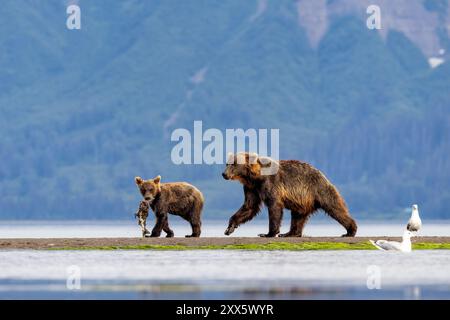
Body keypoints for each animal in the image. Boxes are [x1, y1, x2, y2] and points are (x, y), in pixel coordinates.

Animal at [222, 152, 358, 238]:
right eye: (227, 163)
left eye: (233, 164)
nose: (224, 174)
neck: (255, 176)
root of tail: (323, 175)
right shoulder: (251, 188)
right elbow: (249, 206)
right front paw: (230, 228)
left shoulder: (270, 183)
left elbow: (274, 206)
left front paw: (268, 233)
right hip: (302, 200)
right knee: (298, 216)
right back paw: (290, 233)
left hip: (319, 190)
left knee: (335, 208)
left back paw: (350, 231)